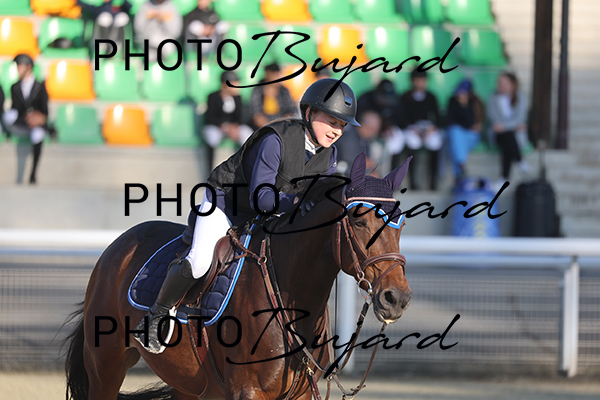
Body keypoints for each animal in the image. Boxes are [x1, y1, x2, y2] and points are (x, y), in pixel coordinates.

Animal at [64, 152, 413, 400]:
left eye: (402, 224)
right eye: (358, 220)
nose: (396, 298)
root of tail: (119, 246)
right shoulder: (249, 392)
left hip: (189, 384)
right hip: (106, 366)